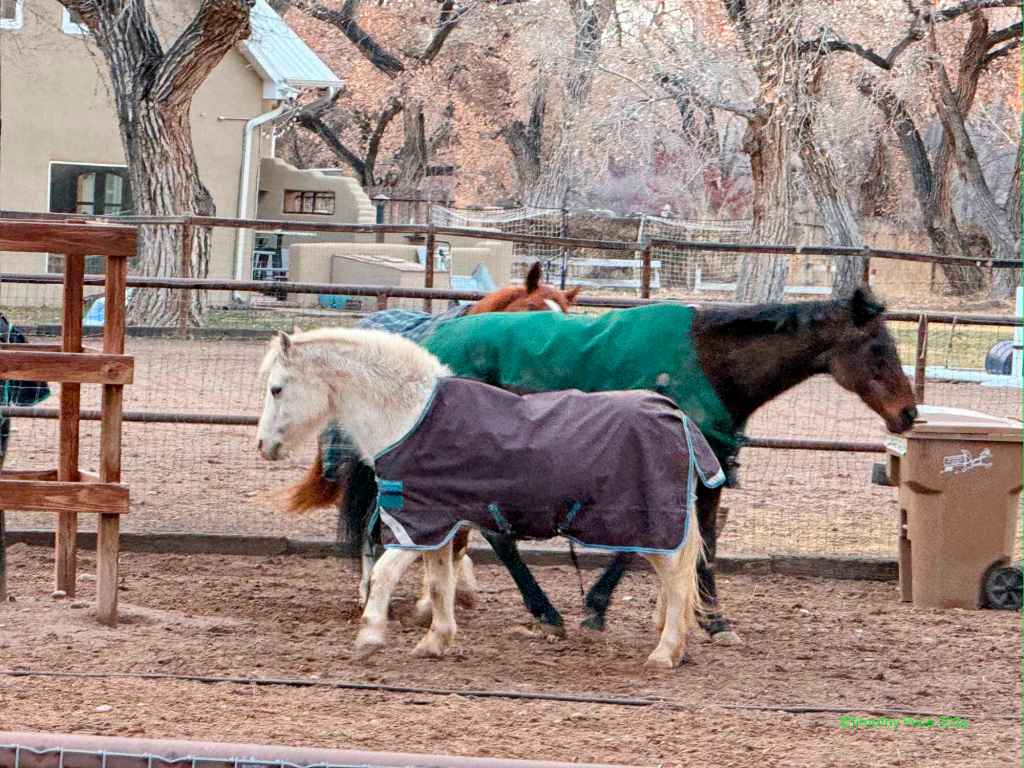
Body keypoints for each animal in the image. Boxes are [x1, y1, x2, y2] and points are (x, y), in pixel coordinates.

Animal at [257, 327, 717, 668]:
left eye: (277, 389)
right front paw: (435, 641)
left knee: (677, 582)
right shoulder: (440, 526)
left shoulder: (417, 525)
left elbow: (386, 573)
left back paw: (664, 652)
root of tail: (676, 416)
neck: (412, 415)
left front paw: (369, 635)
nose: (264, 446)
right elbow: (439, 583)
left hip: (650, 524)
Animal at [313, 287, 918, 643]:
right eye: (878, 348)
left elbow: (699, 542)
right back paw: (536, 610)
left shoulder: (701, 475)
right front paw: (603, 607)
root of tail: (433, 335)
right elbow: (648, 544)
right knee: (480, 534)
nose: (908, 412)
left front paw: (705, 617)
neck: (706, 366)